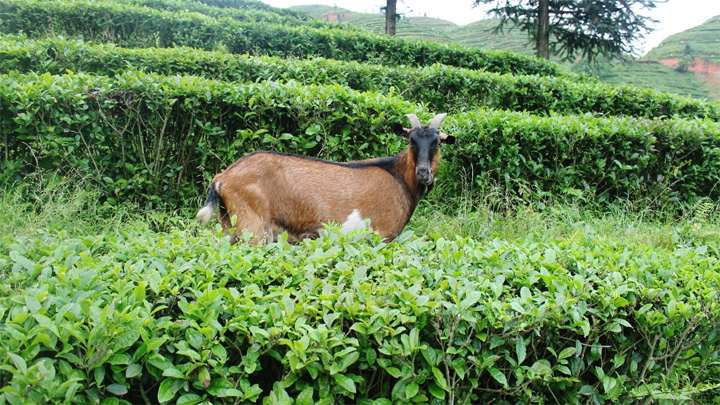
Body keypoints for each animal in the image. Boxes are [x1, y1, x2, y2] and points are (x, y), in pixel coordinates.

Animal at [197, 114, 456, 246]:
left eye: (437, 142)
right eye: (411, 141)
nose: (423, 173)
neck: (398, 176)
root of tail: (223, 176)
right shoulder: (383, 236)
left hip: (228, 225)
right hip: (254, 227)